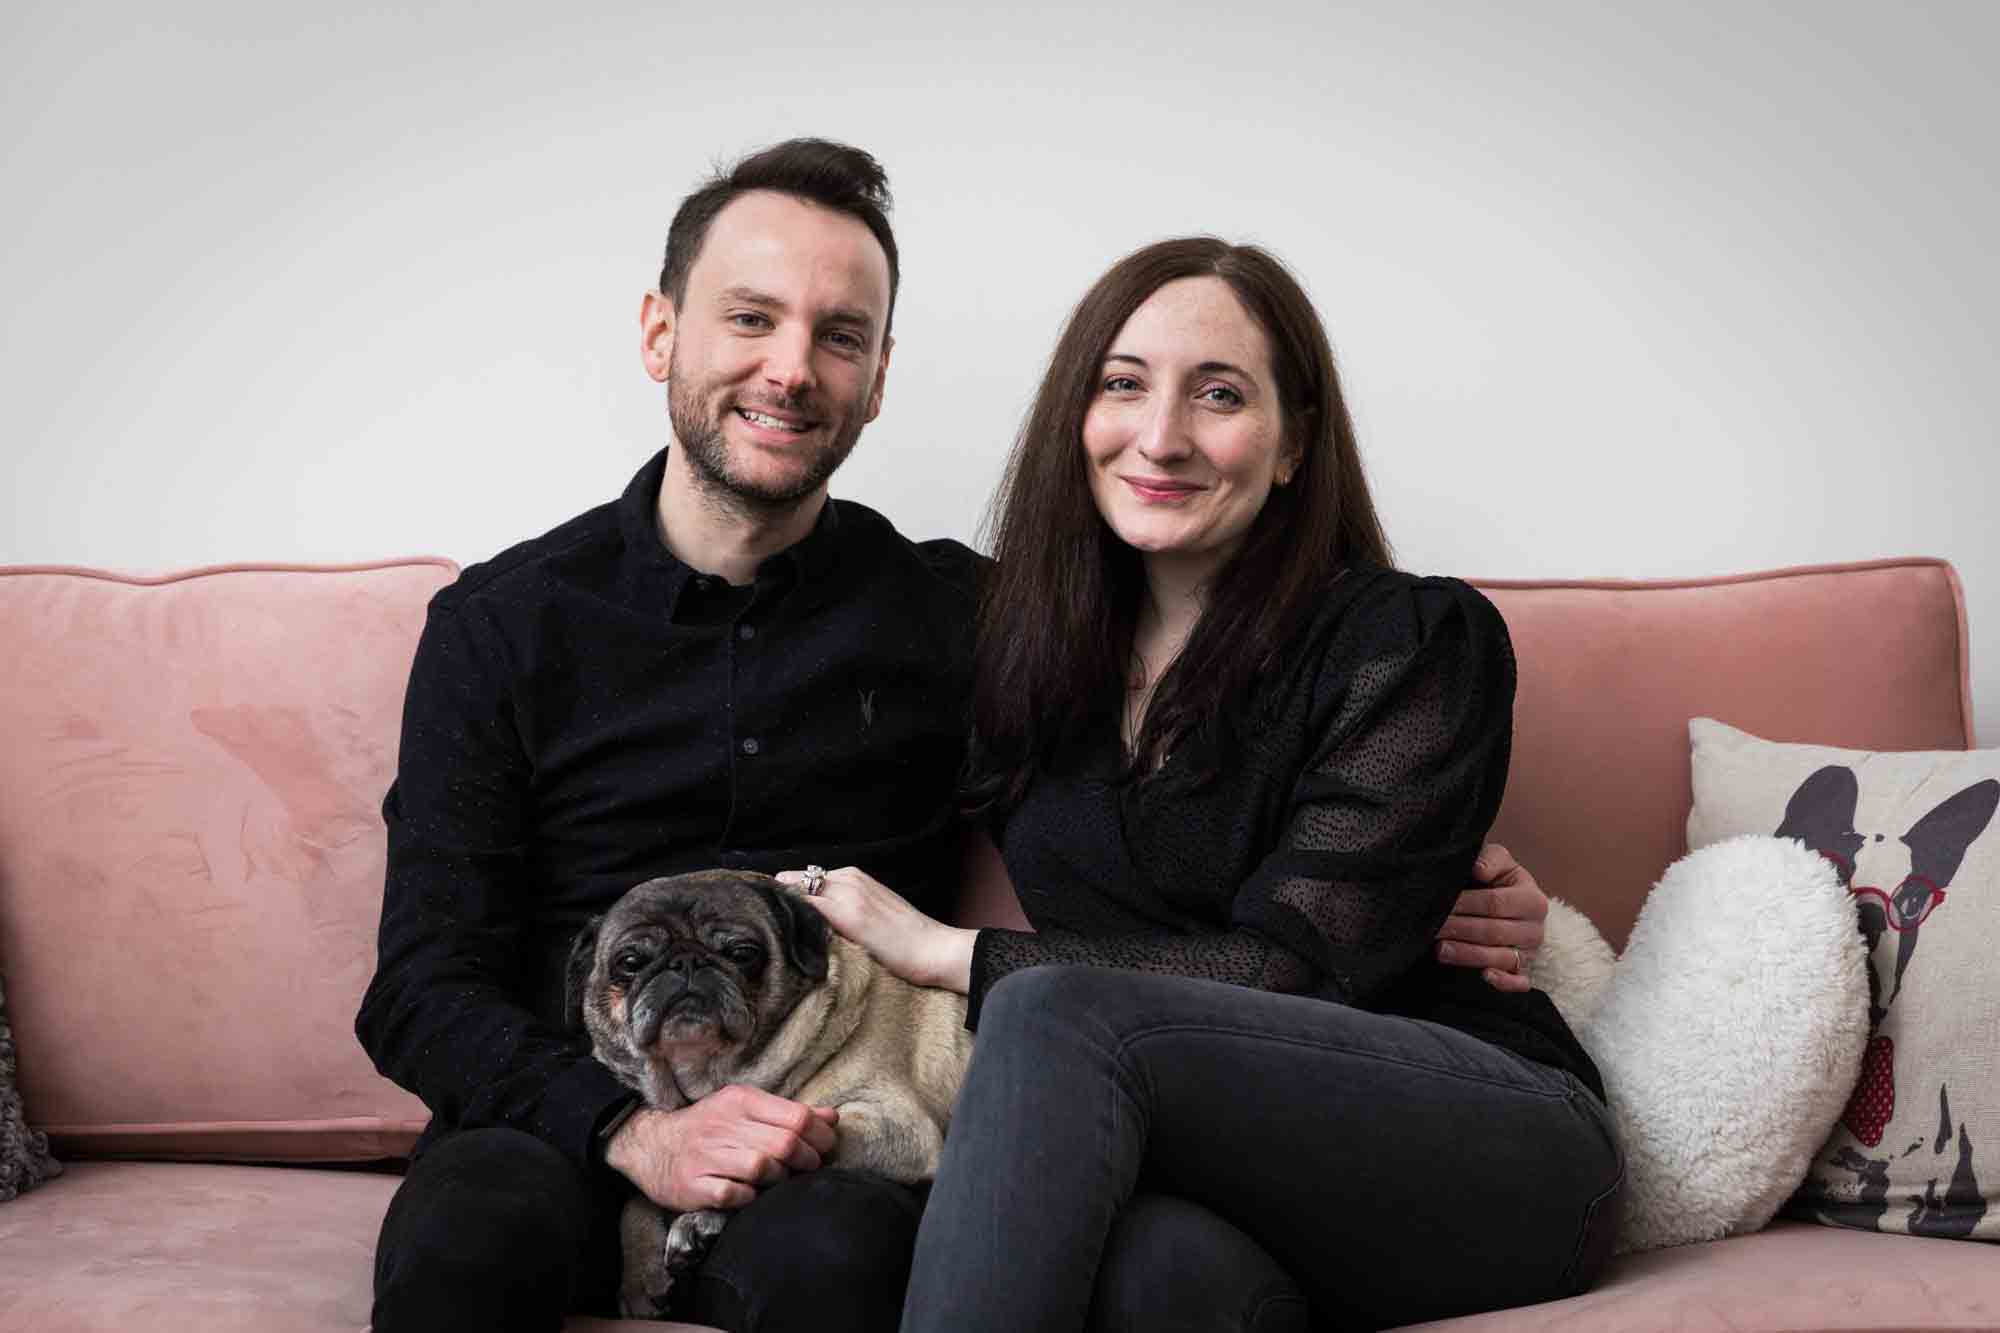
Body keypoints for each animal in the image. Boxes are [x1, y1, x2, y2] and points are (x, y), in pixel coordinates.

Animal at [568, 868, 972, 1312]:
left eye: (743, 953)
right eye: (629, 962)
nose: (686, 961)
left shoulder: (896, 1128)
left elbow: (784, 1159)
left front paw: (701, 1219)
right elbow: (638, 1201)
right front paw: (640, 1273)